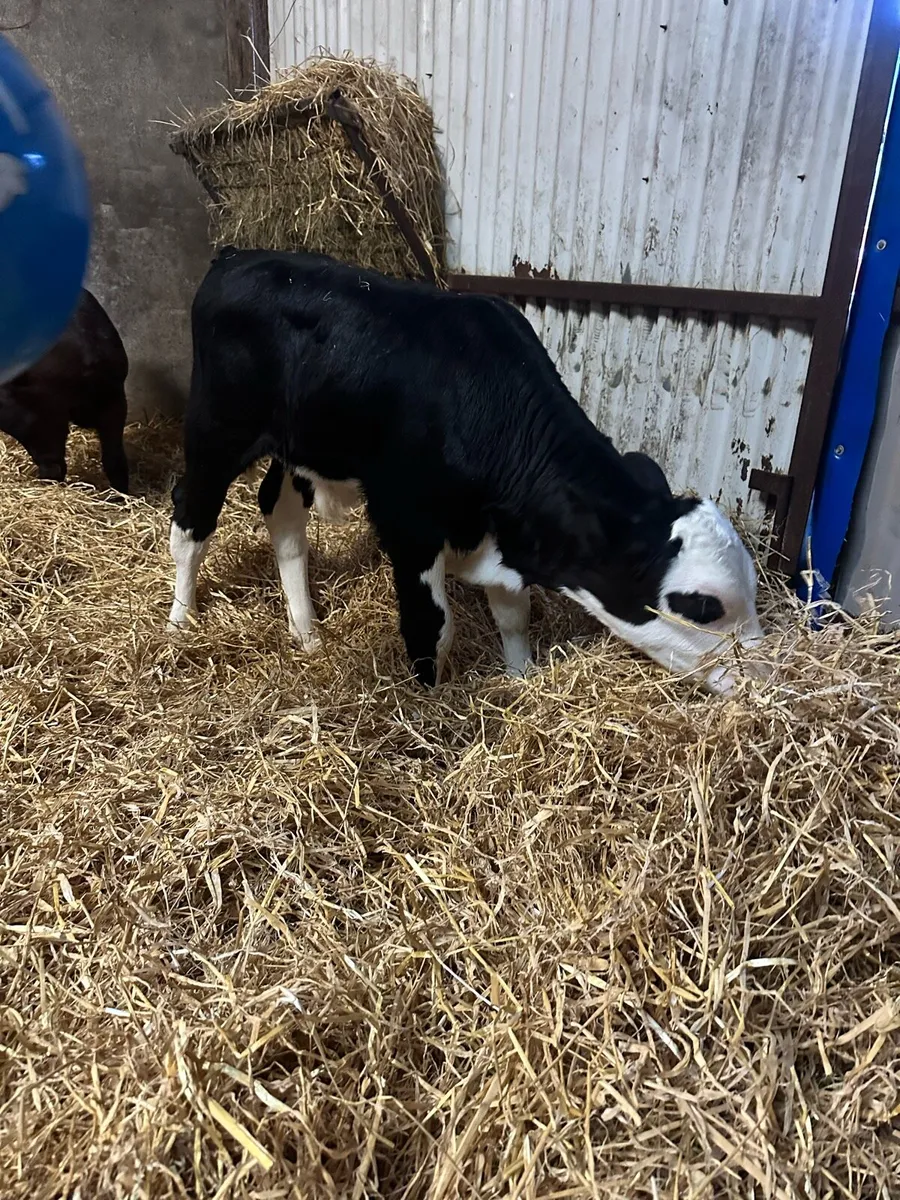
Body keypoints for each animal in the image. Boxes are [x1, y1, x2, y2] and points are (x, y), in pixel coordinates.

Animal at [167, 247, 763, 693]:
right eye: (702, 606)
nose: (763, 677)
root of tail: (237, 255)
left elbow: (514, 617)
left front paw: (522, 679)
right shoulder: (408, 526)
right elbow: (433, 627)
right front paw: (427, 707)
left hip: (301, 445)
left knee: (280, 511)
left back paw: (307, 632)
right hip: (216, 428)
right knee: (191, 518)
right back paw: (180, 624)